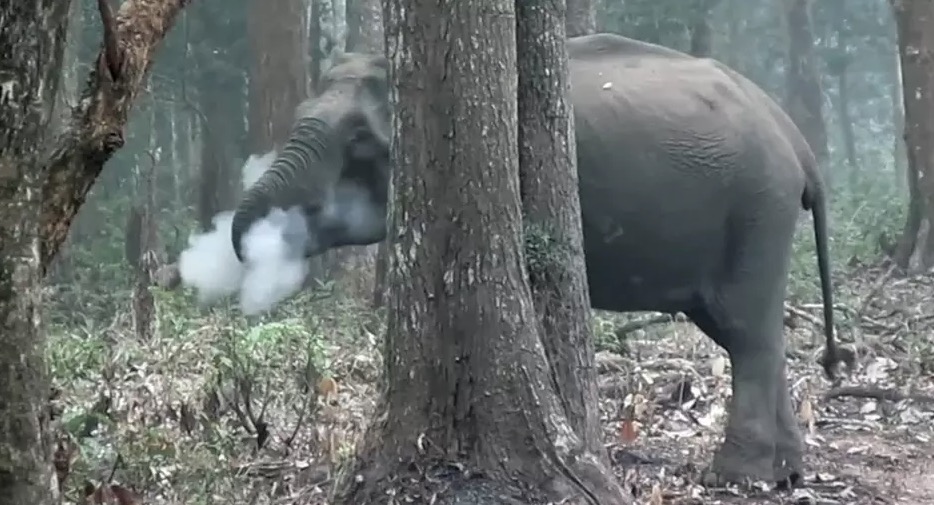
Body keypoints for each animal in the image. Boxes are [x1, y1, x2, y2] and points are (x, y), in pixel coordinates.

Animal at [229, 33, 848, 486]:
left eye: (359, 140)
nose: (245, 250)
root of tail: (798, 144)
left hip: (757, 209)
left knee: (746, 332)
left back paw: (737, 477)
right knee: (748, 332)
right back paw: (786, 474)